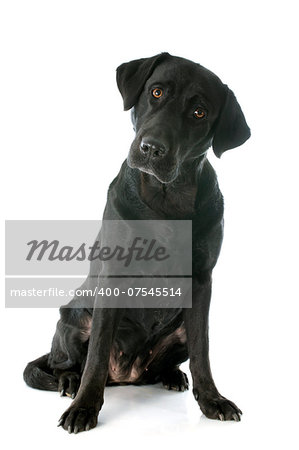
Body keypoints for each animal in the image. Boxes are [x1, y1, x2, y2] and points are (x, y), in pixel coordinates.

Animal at [23, 51, 251, 432]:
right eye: (156, 92)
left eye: (199, 112)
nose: (152, 148)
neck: (166, 199)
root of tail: (126, 375)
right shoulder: (112, 279)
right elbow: (97, 354)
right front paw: (84, 406)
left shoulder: (202, 281)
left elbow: (203, 351)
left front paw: (212, 400)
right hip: (73, 317)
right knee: (63, 362)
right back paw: (70, 381)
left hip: (177, 333)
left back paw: (172, 375)